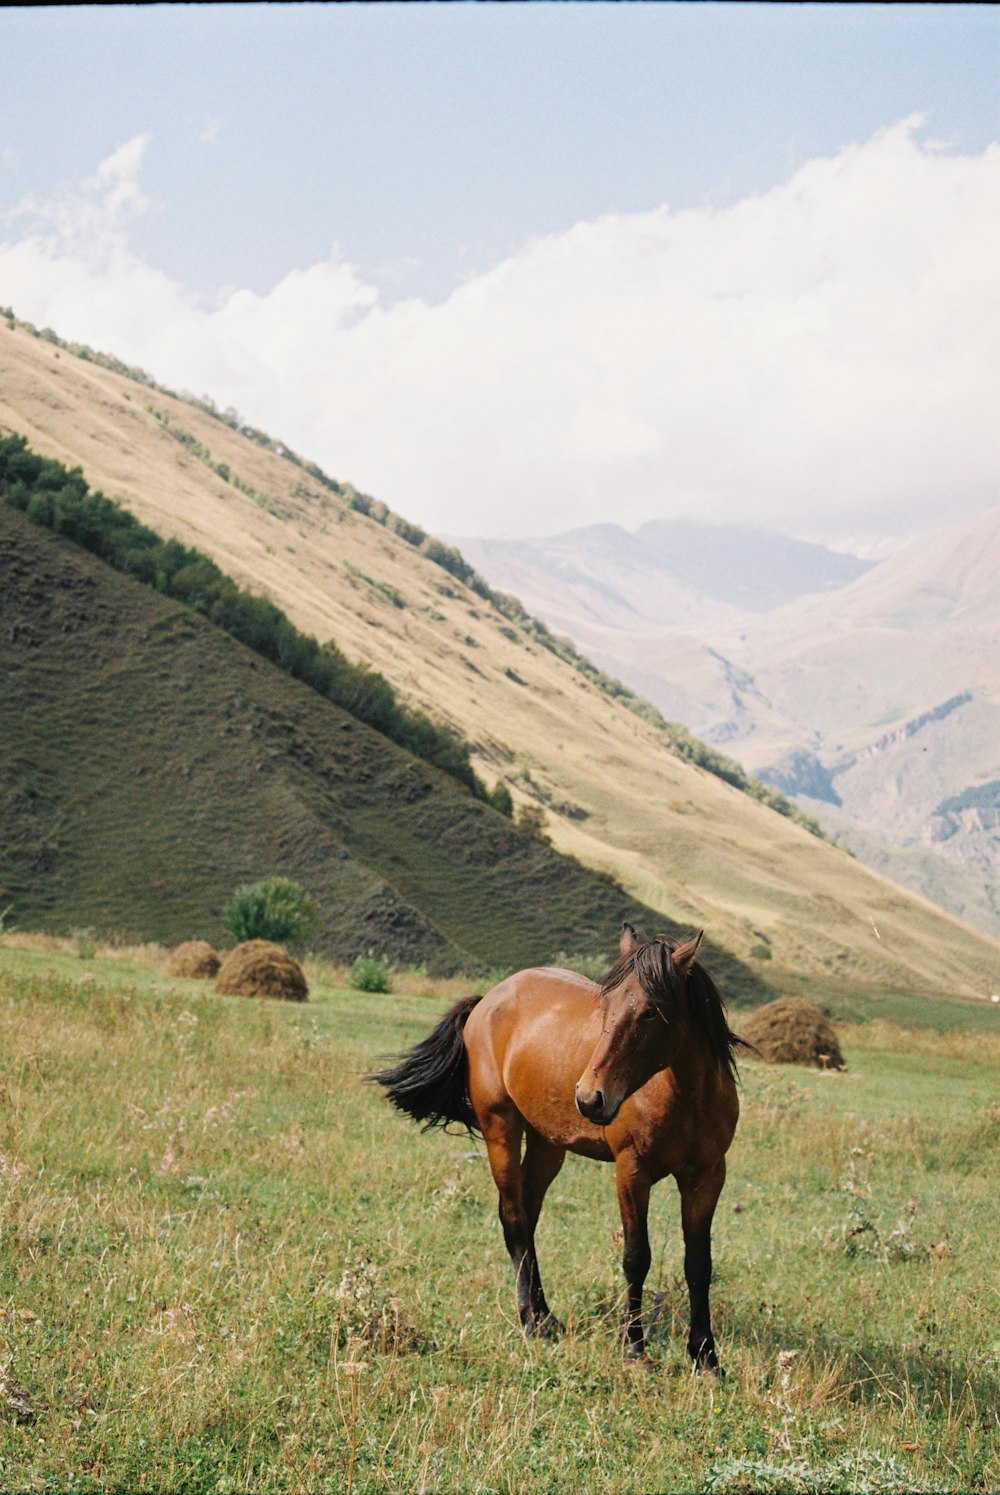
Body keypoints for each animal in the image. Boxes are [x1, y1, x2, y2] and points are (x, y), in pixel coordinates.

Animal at [370, 914, 744, 1369]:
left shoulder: (707, 1177)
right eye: (605, 1006)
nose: (590, 1097)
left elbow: (699, 1264)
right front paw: (634, 1350)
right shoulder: (632, 1172)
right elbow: (637, 1257)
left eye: (651, 1012)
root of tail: (489, 998)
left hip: (548, 1145)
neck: (686, 1098)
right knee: (514, 1218)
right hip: (500, 1129)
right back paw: (530, 1322)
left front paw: (706, 1358)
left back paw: (546, 1317)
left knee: (526, 1217)